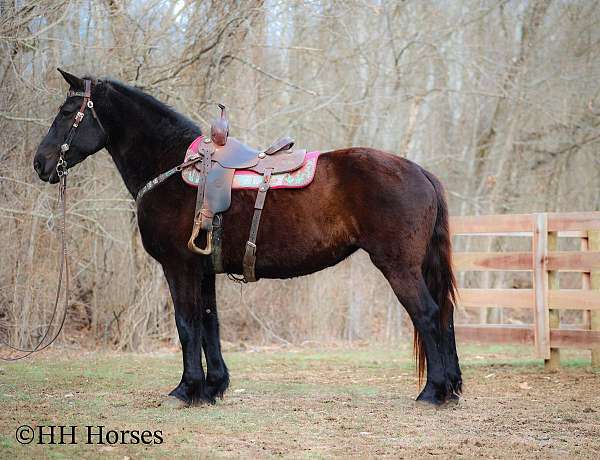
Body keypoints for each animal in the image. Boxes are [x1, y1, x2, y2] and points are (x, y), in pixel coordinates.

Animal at [32, 68, 462, 406]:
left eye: (67, 112)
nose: (40, 163)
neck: (173, 167)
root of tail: (420, 171)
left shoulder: (179, 267)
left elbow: (186, 323)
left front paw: (185, 390)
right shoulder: (203, 269)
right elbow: (209, 324)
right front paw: (212, 388)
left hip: (399, 267)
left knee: (427, 315)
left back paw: (432, 393)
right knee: (444, 315)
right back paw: (451, 389)